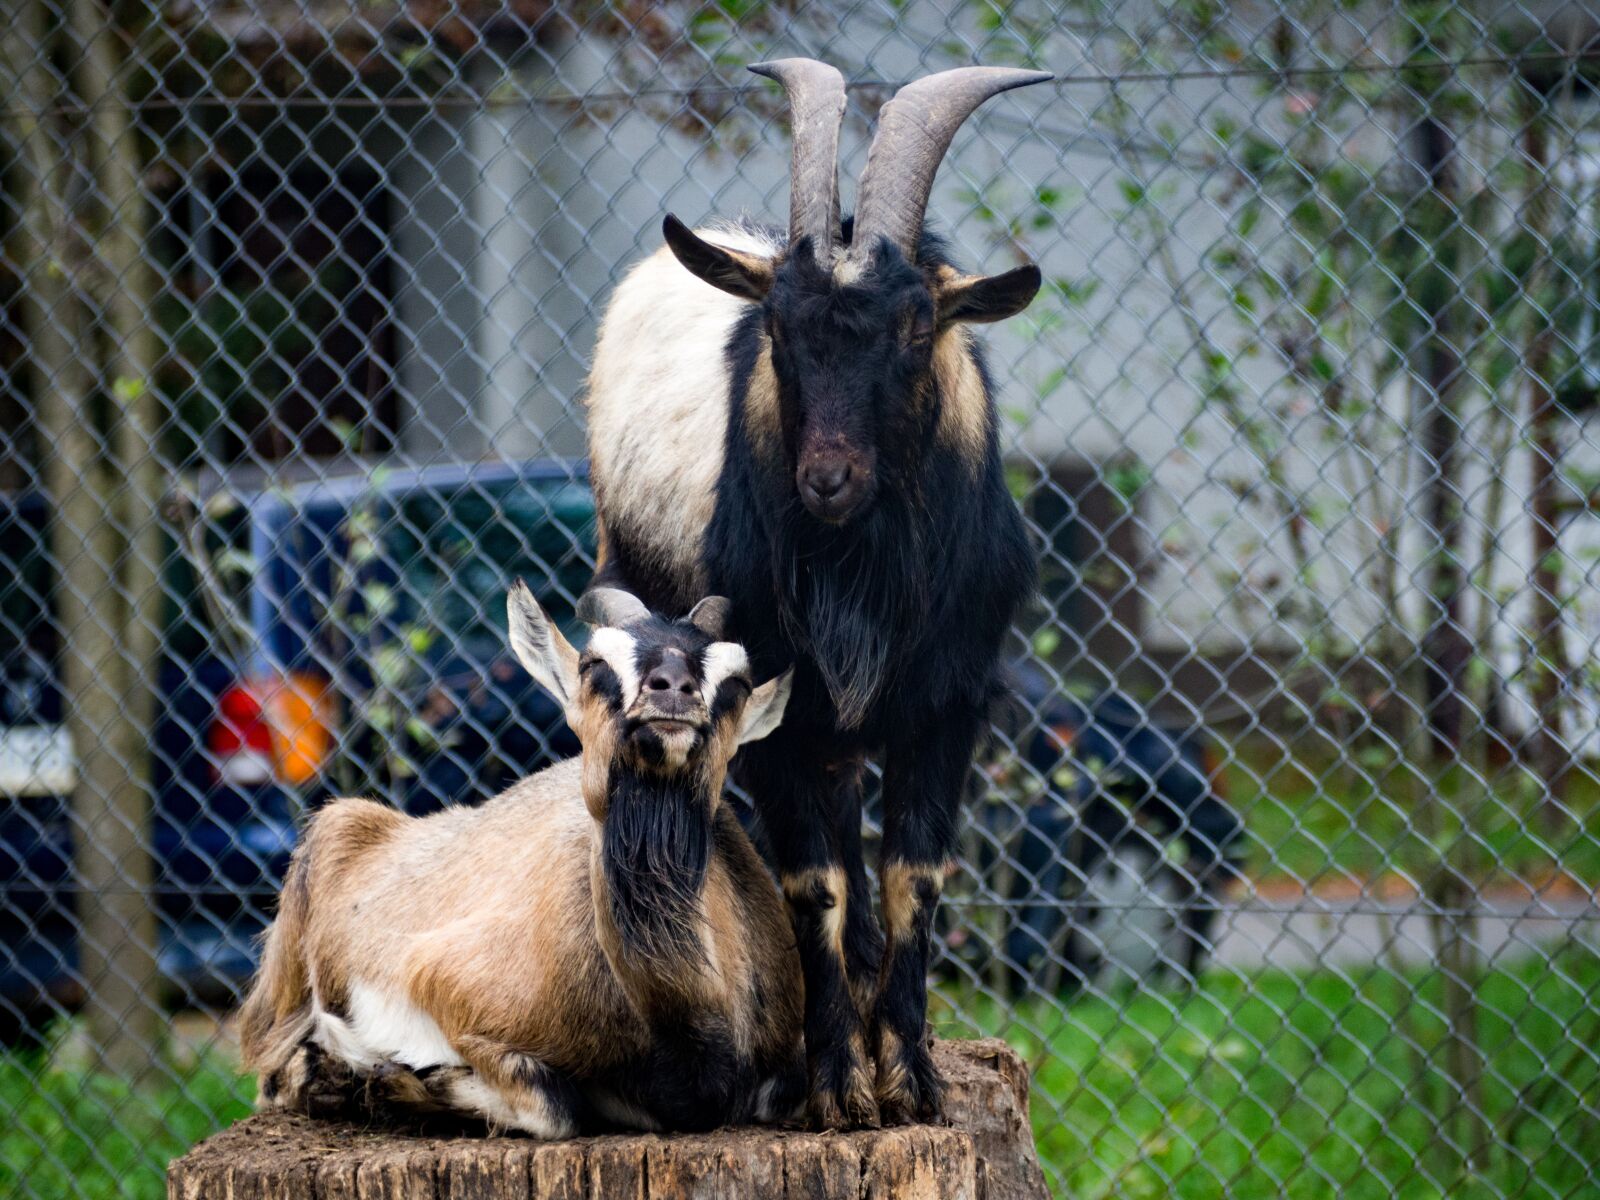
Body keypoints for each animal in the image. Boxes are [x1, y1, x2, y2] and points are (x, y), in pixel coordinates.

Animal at [238, 582, 806, 1139]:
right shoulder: (443, 982)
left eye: (736, 681)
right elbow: (555, 1109)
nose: (672, 689)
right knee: (270, 1072)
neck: (684, 1044)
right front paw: (396, 1081)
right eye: (593, 664)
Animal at [588, 58, 1049, 1126]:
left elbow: (913, 876)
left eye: (918, 323)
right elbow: (814, 882)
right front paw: (839, 1086)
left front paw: (910, 1077)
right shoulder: (772, 708)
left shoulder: (952, 702)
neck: (862, 569)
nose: (826, 479)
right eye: (777, 327)